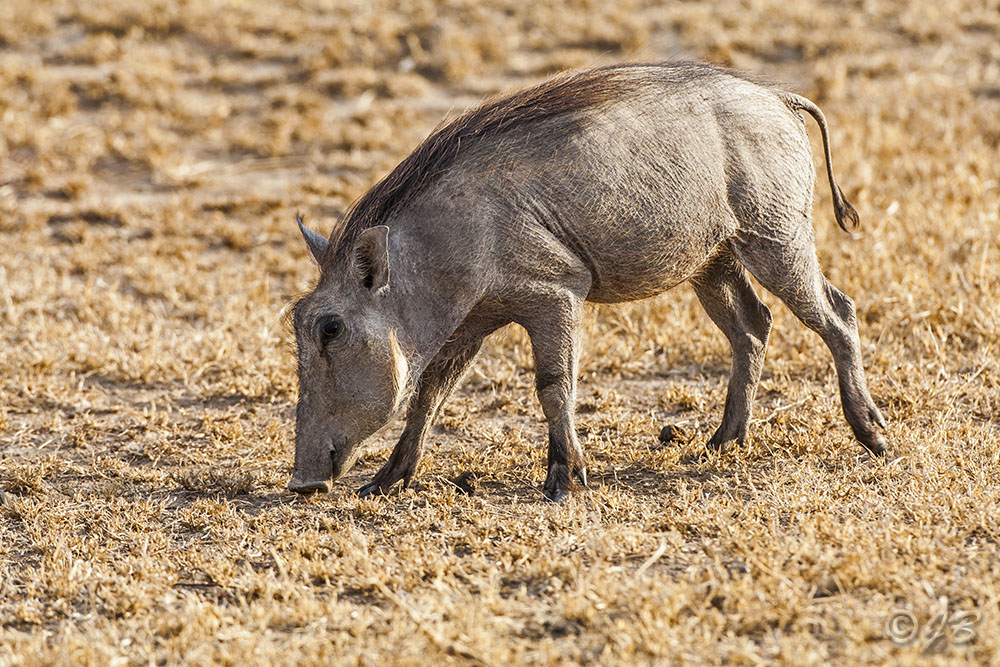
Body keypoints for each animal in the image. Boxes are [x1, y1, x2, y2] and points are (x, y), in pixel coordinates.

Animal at [287, 61, 887, 501]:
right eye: (297, 318)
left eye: (330, 329)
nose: (301, 483)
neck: (441, 249)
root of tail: (782, 97)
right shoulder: (470, 324)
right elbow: (428, 395)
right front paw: (382, 483)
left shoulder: (555, 296)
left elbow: (554, 386)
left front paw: (563, 481)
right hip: (711, 259)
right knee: (752, 326)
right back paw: (721, 444)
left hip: (776, 238)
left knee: (838, 314)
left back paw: (873, 435)